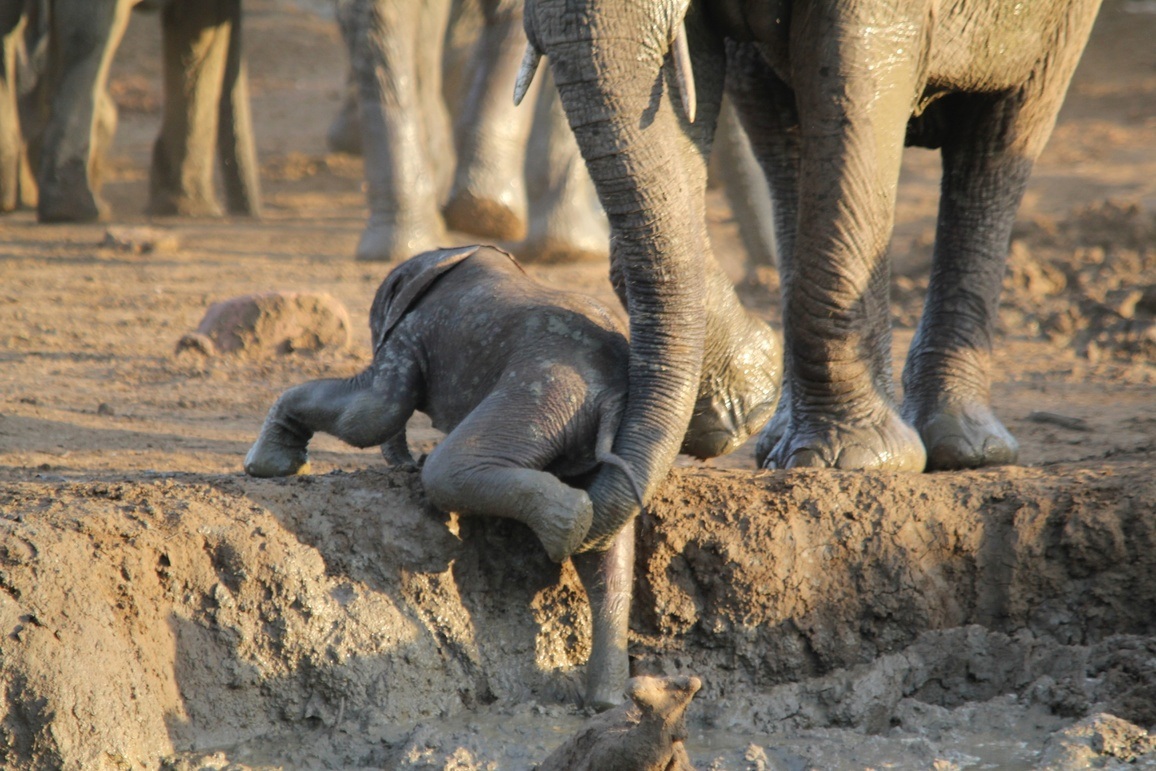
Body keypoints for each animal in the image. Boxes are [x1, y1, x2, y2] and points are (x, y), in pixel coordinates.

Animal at [522, 1, 1100, 547]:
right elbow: (687, 74)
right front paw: (738, 404)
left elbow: (852, 74)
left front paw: (859, 462)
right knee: (780, 130)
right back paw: (779, 442)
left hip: (1062, 30)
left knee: (1001, 138)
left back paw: (966, 451)